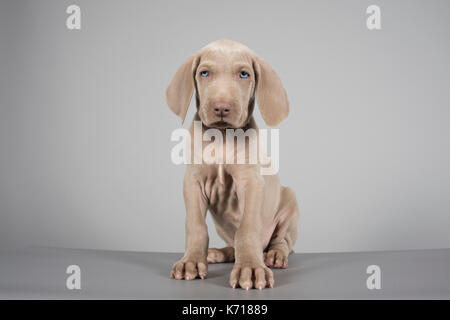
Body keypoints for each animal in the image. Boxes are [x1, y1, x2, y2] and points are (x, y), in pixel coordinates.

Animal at [165, 40, 298, 290]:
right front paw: (191, 261)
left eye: (244, 74)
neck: (223, 137)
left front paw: (251, 269)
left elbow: (247, 228)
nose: (221, 108)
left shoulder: (251, 182)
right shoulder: (193, 181)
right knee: (233, 247)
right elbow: (196, 226)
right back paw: (217, 253)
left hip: (290, 201)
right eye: (204, 73)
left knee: (282, 241)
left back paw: (274, 255)